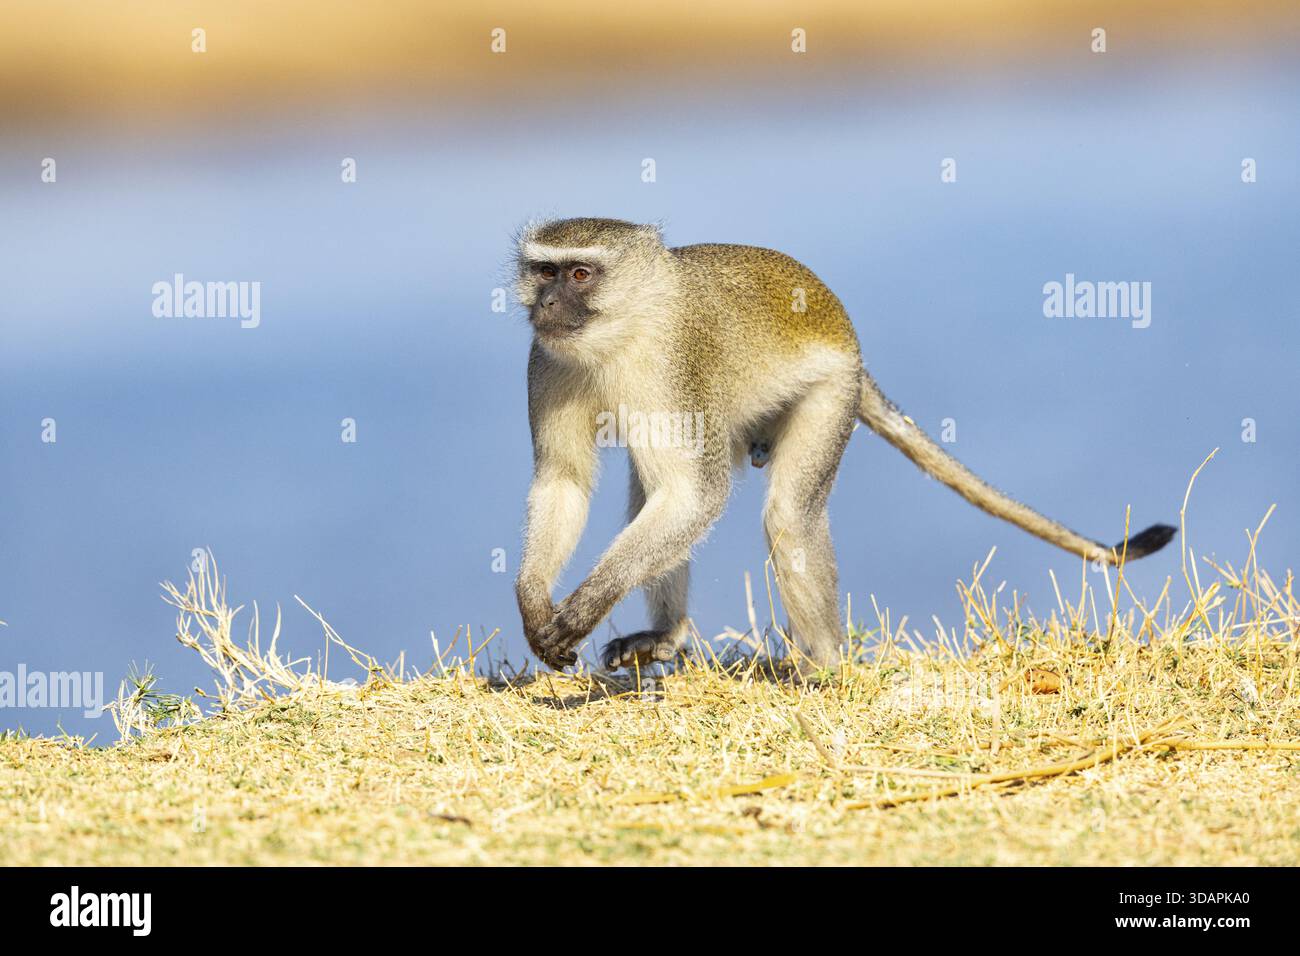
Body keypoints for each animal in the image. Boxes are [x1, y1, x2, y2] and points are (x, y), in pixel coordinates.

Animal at [512, 217, 1176, 673]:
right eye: (544, 273)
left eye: (579, 274)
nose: (546, 303)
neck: (621, 333)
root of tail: (851, 342)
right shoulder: (545, 363)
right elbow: (565, 481)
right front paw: (534, 604)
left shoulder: (673, 367)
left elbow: (695, 495)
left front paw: (584, 606)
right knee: (654, 495)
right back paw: (668, 637)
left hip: (833, 393)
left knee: (785, 517)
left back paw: (826, 666)